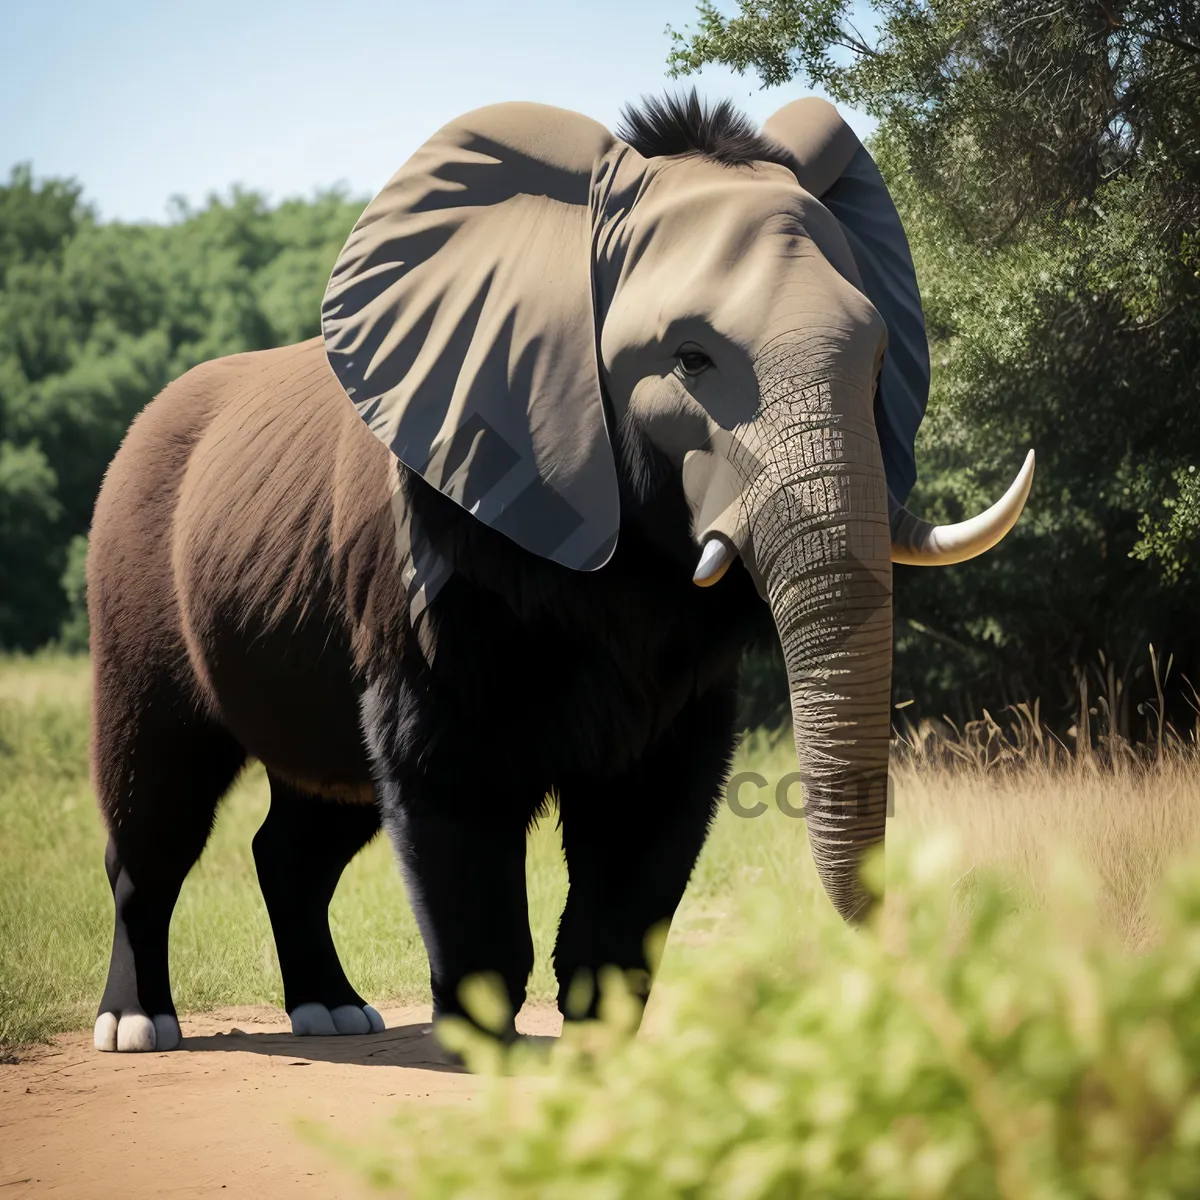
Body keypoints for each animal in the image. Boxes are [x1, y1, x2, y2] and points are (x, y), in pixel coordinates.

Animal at [87, 91, 1032, 1051]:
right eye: (691, 359)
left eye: (879, 361)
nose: (909, 953)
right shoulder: (432, 552)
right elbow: (448, 779)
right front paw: (492, 1060)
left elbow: (655, 804)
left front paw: (597, 1056)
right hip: (130, 579)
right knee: (155, 813)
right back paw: (138, 1026)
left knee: (307, 827)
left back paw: (334, 1014)